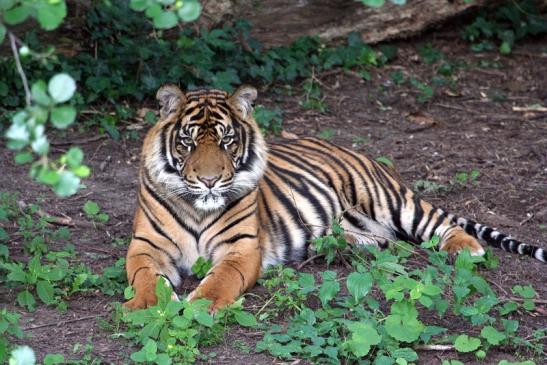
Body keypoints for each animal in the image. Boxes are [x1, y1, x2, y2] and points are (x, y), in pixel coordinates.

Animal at [125, 84, 547, 308]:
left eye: (227, 142)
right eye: (188, 142)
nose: (211, 181)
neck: (199, 208)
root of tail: (349, 148)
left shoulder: (240, 247)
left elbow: (220, 280)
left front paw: (200, 306)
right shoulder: (146, 246)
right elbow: (144, 277)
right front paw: (148, 307)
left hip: (390, 200)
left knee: (439, 223)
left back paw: (465, 248)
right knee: (386, 242)